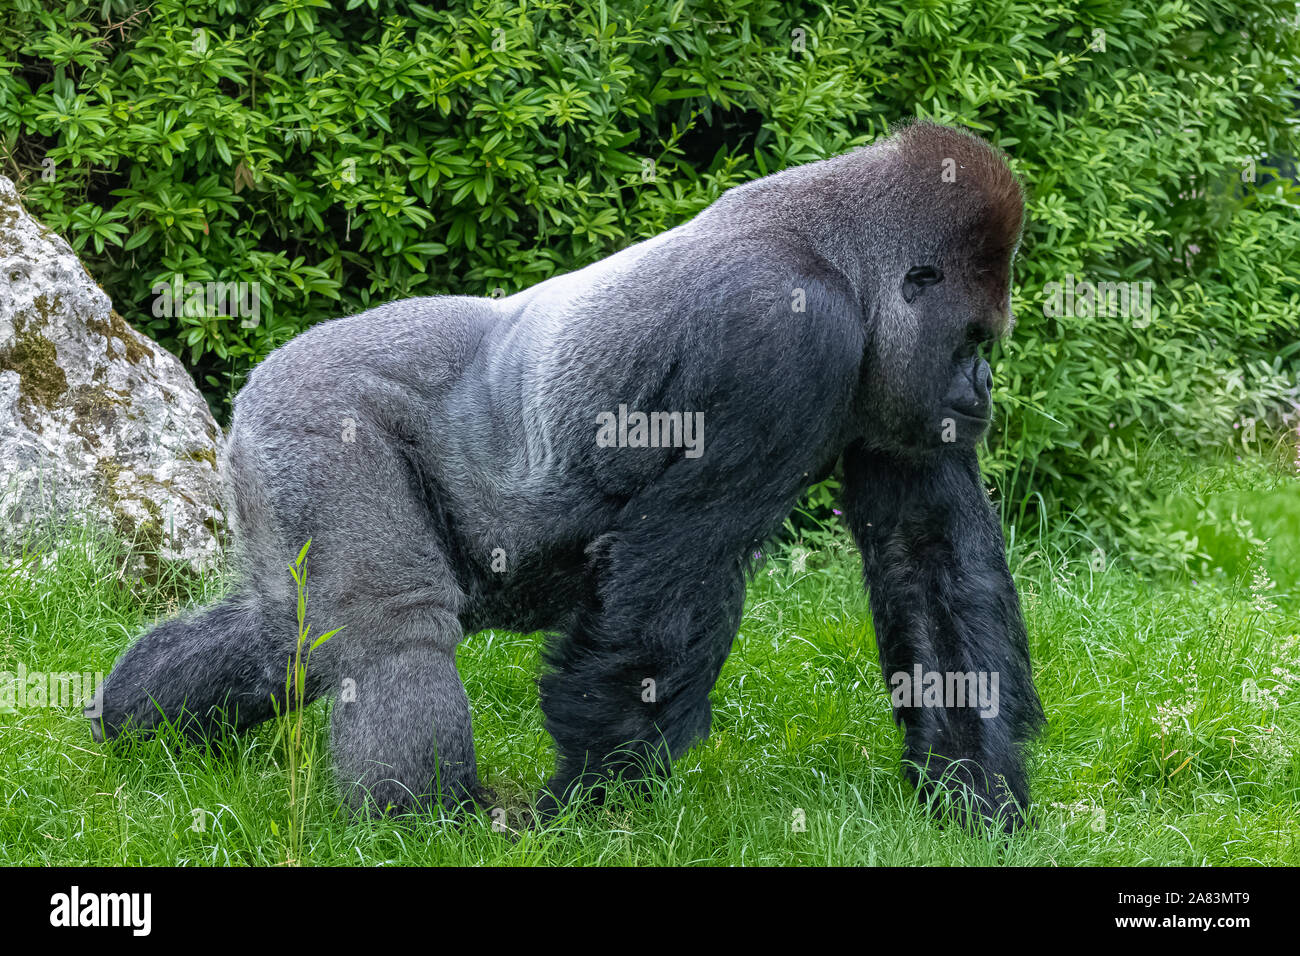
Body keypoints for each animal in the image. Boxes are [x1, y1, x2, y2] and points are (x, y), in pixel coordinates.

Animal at [89, 121, 1045, 832]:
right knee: (391, 629)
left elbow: (925, 558)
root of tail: (257, 383)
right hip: (317, 414)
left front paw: (974, 795)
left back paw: (133, 724)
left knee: (285, 632)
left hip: (274, 451)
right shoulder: (777, 333)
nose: (981, 390)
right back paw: (422, 825)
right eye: (972, 340)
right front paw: (592, 803)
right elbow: (669, 581)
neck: (841, 255)